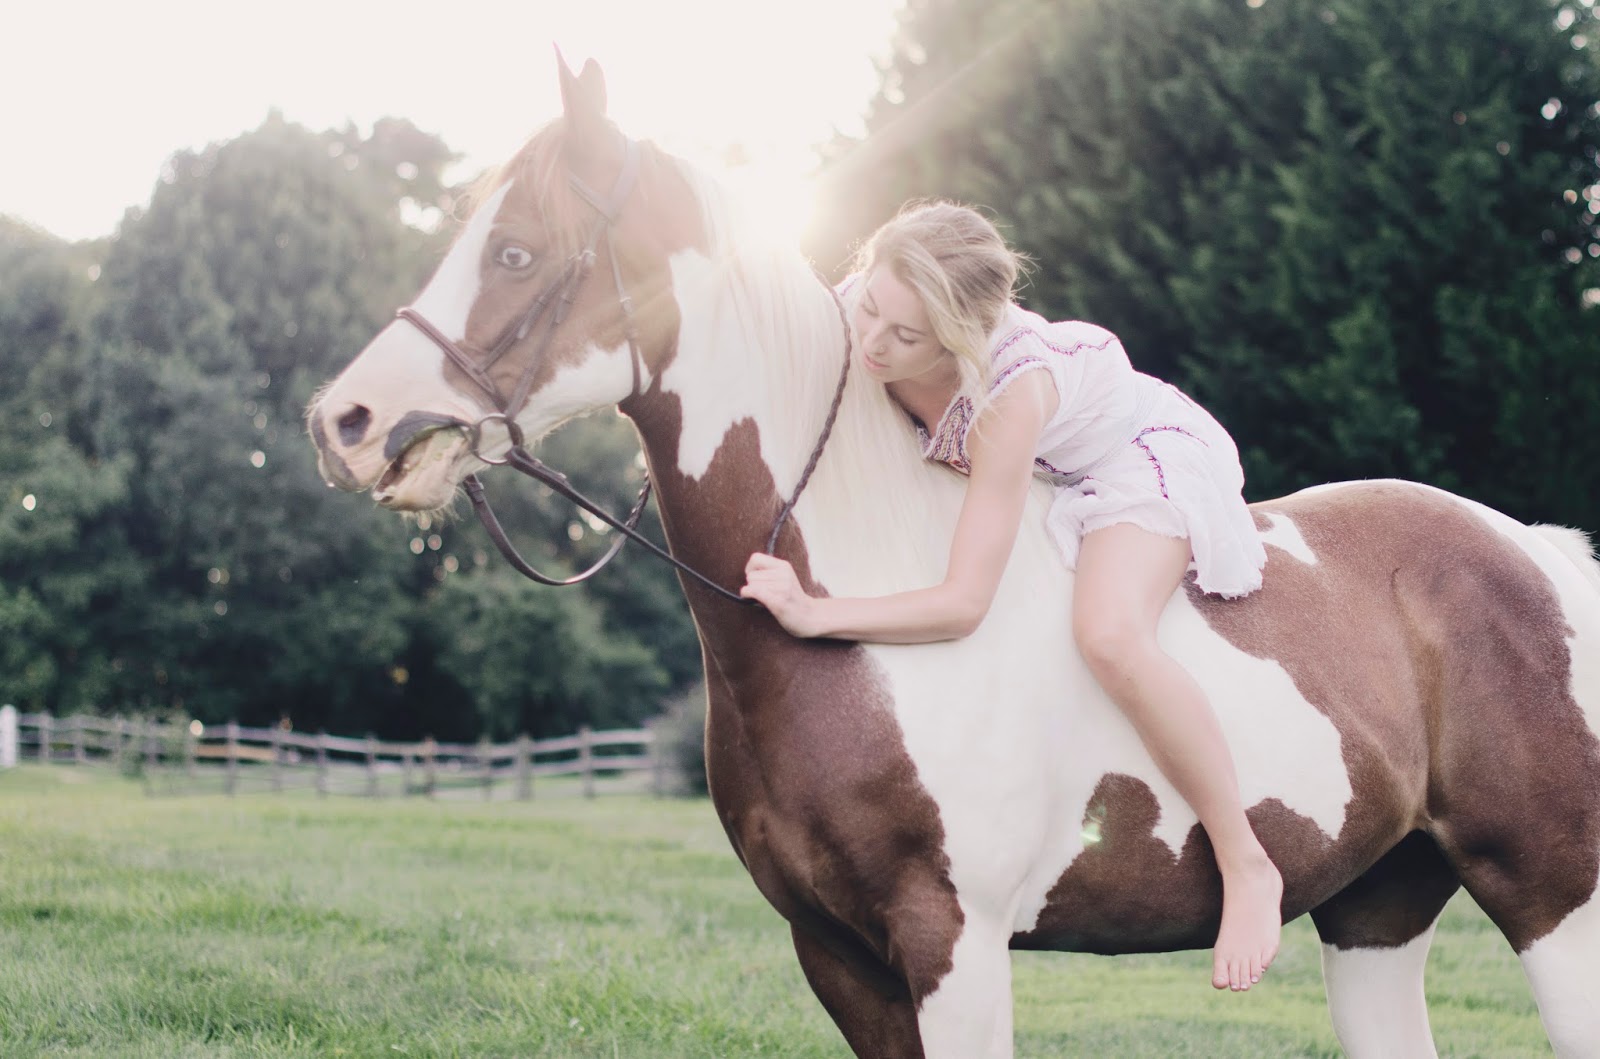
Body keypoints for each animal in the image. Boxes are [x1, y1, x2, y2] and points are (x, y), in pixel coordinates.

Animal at [307, 58, 1600, 1058]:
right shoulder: (837, 954)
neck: (874, 620)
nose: (344, 423)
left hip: (1552, 903)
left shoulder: (953, 943)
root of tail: (1538, 556)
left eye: (518, 255)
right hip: (1377, 913)